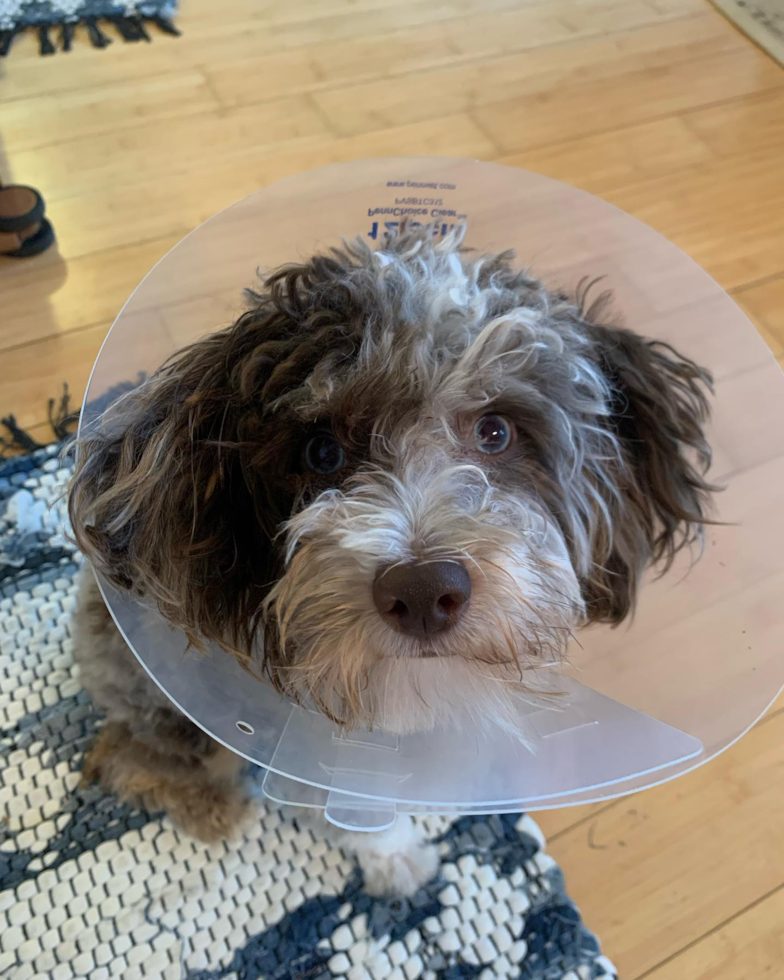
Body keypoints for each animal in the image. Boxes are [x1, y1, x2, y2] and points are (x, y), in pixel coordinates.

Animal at [69, 224, 716, 896]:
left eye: (496, 431)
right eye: (321, 452)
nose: (425, 591)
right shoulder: (308, 759)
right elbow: (361, 820)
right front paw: (401, 859)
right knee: (133, 759)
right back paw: (213, 809)